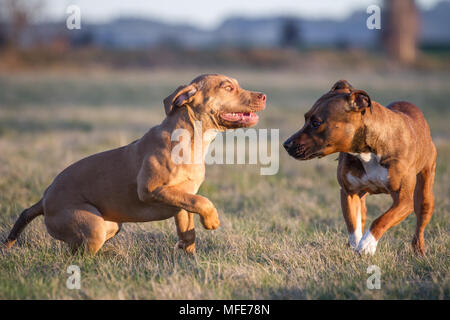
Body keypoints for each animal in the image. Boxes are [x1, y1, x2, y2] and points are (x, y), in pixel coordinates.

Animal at [4, 74, 268, 255]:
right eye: (227, 87)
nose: (264, 96)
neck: (192, 139)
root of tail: (44, 199)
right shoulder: (152, 190)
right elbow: (203, 202)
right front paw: (212, 220)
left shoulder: (182, 198)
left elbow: (189, 226)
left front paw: (188, 258)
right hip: (93, 226)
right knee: (77, 255)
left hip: (110, 225)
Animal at [284, 80, 436, 255]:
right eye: (305, 118)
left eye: (316, 123)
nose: (286, 144)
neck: (367, 151)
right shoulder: (349, 193)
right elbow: (353, 226)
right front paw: (357, 245)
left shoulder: (404, 200)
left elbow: (381, 219)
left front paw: (367, 244)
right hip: (361, 198)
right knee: (361, 218)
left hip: (425, 193)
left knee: (420, 222)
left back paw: (419, 250)